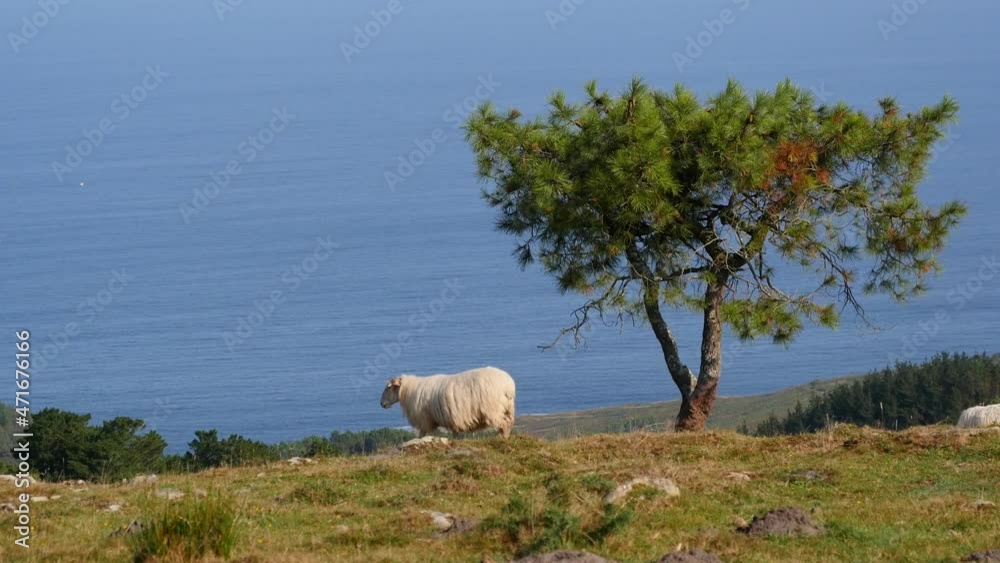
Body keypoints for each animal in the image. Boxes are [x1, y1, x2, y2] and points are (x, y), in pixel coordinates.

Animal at [380, 366, 516, 438]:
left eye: (388, 388)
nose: (381, 404)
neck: (409, 391)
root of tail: (508, 385)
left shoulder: (424, 419)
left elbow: (422, 434)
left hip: (493, 410)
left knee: (503, 424)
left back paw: (502, 438)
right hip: (508, 409)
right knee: (508, 423)